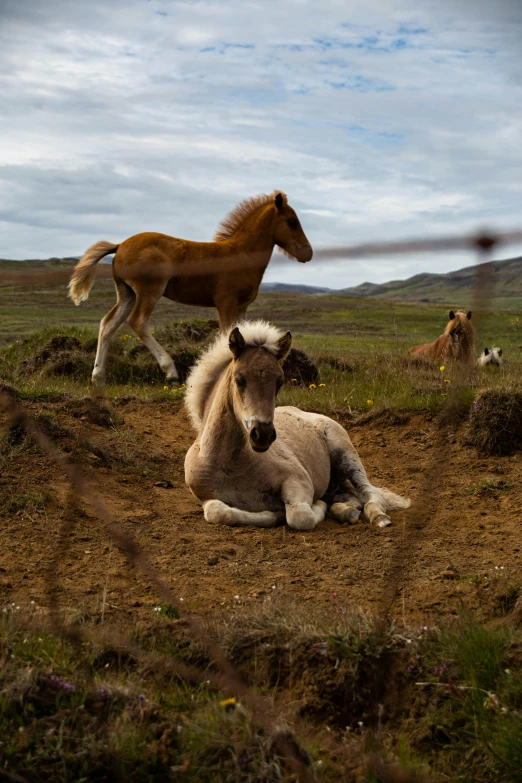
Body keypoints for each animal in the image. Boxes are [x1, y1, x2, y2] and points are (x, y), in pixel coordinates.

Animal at [67, 191, 310, 386]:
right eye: (292, 221)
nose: (307, 253)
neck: (242, 255)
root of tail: (119, 246)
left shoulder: (242, 306)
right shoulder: (226, 303)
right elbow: (227, 335)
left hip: (127, 293)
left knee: (108, 324)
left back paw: (98, 378)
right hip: (150, 290)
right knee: (138, 322)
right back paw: (171, 372)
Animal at [185, 320, 408, 532]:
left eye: (280, 382)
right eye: (239, 379)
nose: (263, 434)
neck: (228, 464)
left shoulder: (298, 479)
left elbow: (300, 516)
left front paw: (310, 508)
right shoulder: (206, 497)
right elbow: (218, 512)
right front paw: (274, 513)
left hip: (346, 454)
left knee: (368, 493)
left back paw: (378, 517)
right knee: (350, 497)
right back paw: (346, 512)